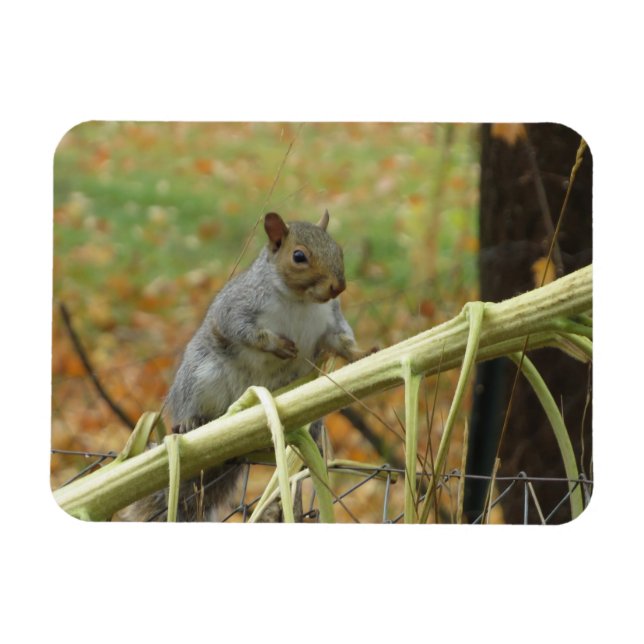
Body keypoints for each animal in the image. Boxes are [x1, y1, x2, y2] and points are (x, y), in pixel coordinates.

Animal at [118, 210, 375, 521]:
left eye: (338, 249)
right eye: (299, 256)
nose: (339, 287)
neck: (300, 301)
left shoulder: (330, 320)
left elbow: (341, 341)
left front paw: (362, 353)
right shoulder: (239, 306)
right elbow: (242, 329)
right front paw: (276, 345)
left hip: (310, 420)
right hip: (201, 376)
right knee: (190, 409)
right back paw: (191, 421)